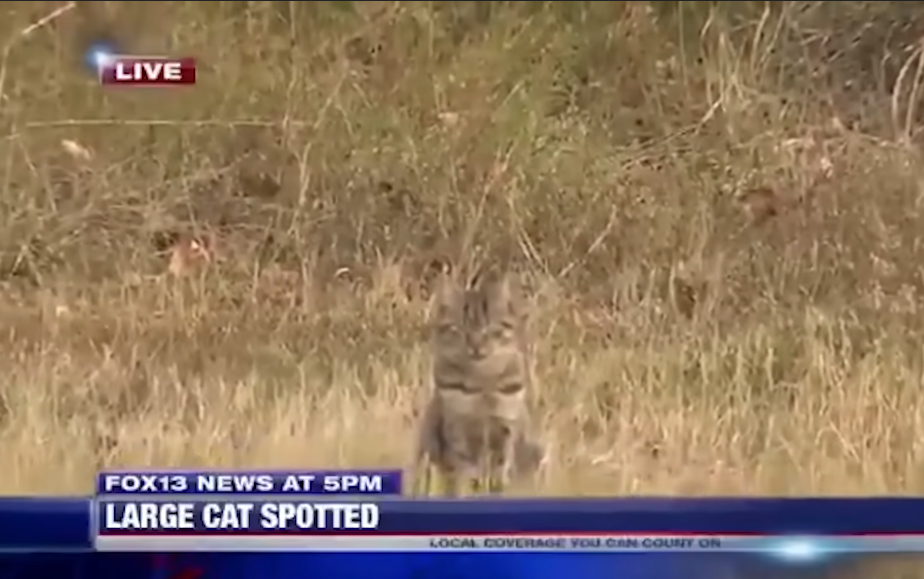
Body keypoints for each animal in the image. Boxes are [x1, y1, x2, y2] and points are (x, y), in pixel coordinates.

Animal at [415, 270, 544, 496]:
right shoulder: (456, 432)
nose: (475, 346)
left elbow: (498, 473)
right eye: (457, 329)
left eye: (491, 329)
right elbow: (462, 476)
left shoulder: (505, 430)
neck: (482, 381)